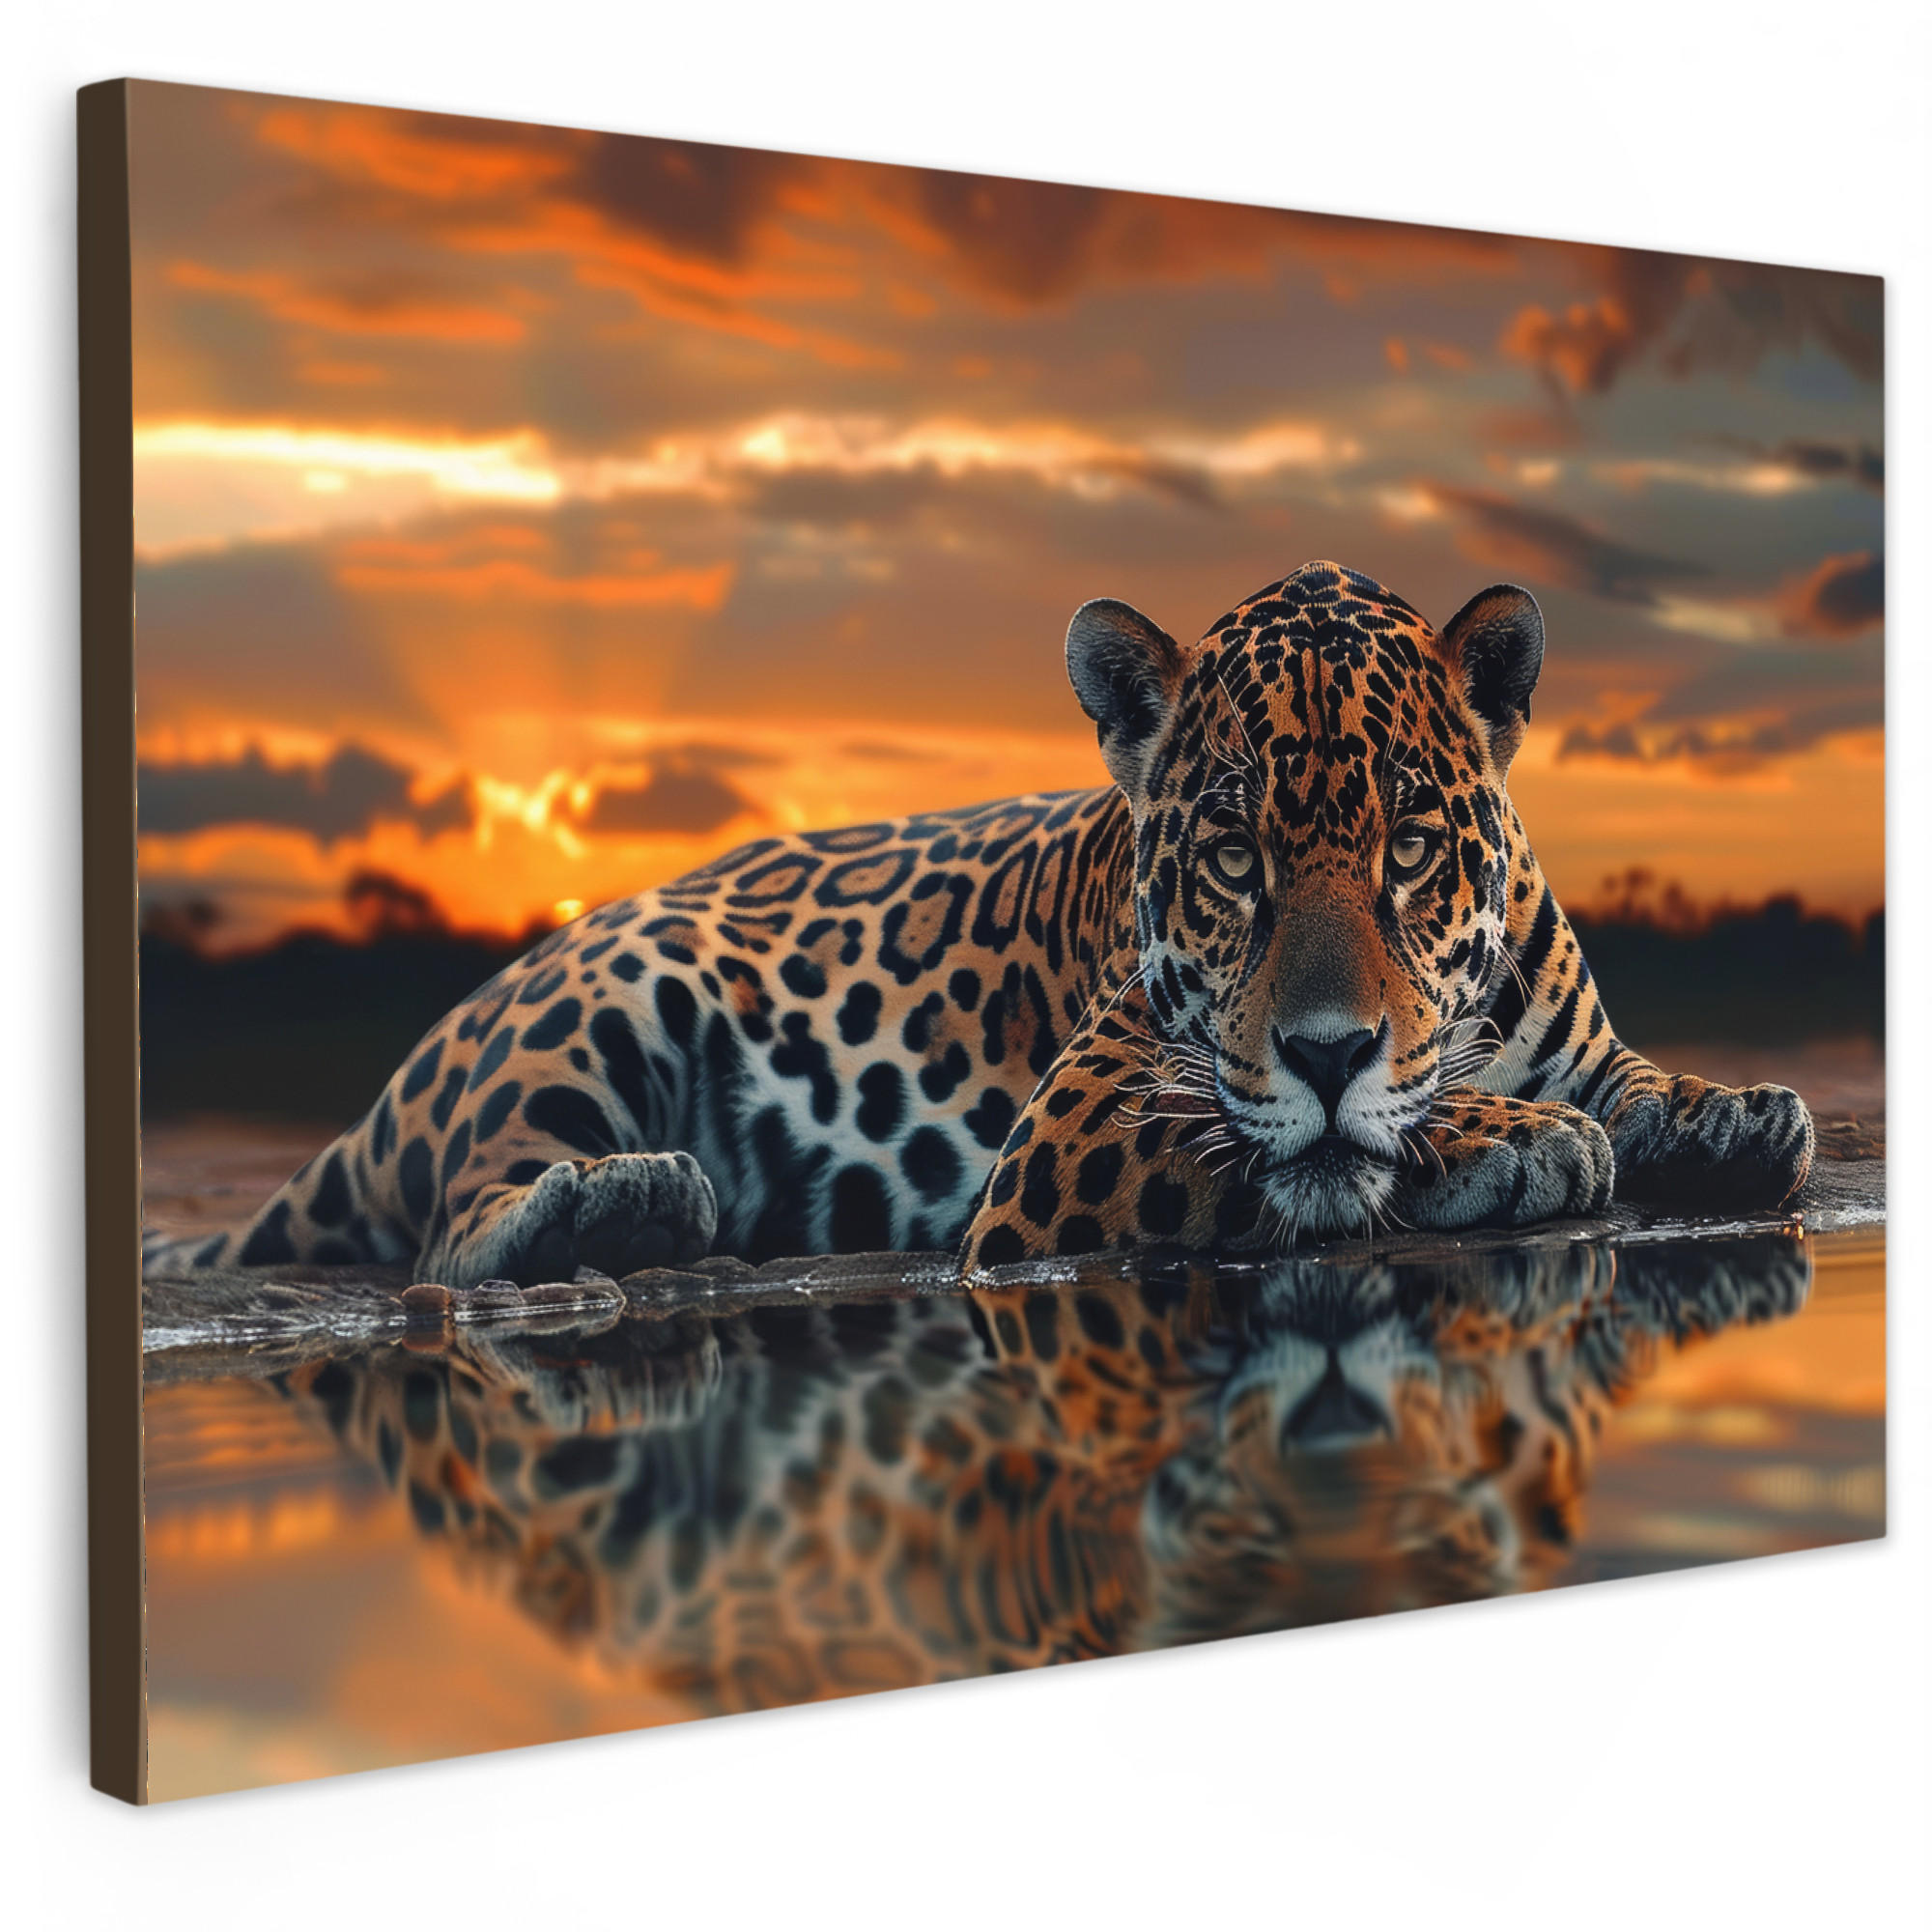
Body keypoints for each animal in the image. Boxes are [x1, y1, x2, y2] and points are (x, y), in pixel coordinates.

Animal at [141, 560, 1815, 1291]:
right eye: (1230, 858)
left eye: (1408, 847)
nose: (1332, 1047)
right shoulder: (1078, 1132)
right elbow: (1309, 1147)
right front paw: (1506, 1138)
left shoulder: (1569, 1032)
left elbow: (1629, 1082)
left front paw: (1730, 1114)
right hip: (603, 999)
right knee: (450, 1230)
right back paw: (622, 1204)